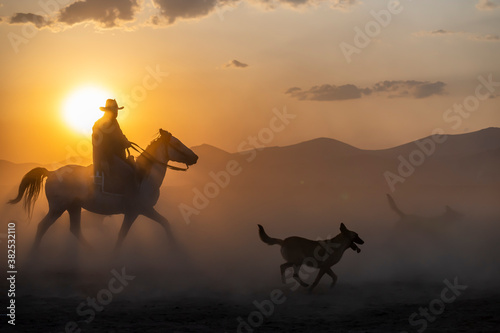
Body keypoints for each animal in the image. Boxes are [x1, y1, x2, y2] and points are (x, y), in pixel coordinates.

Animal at [8, 128, 198, 250]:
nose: (195, 157)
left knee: (75, 230)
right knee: (42, 226)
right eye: (177, 143)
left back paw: (94, 253)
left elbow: (162, 224)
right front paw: (177, 248)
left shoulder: (139, 211)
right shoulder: (139, 210)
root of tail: (52, 172)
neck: (144, 177)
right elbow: (130, 233)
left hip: (73, 207)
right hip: (57, 208)